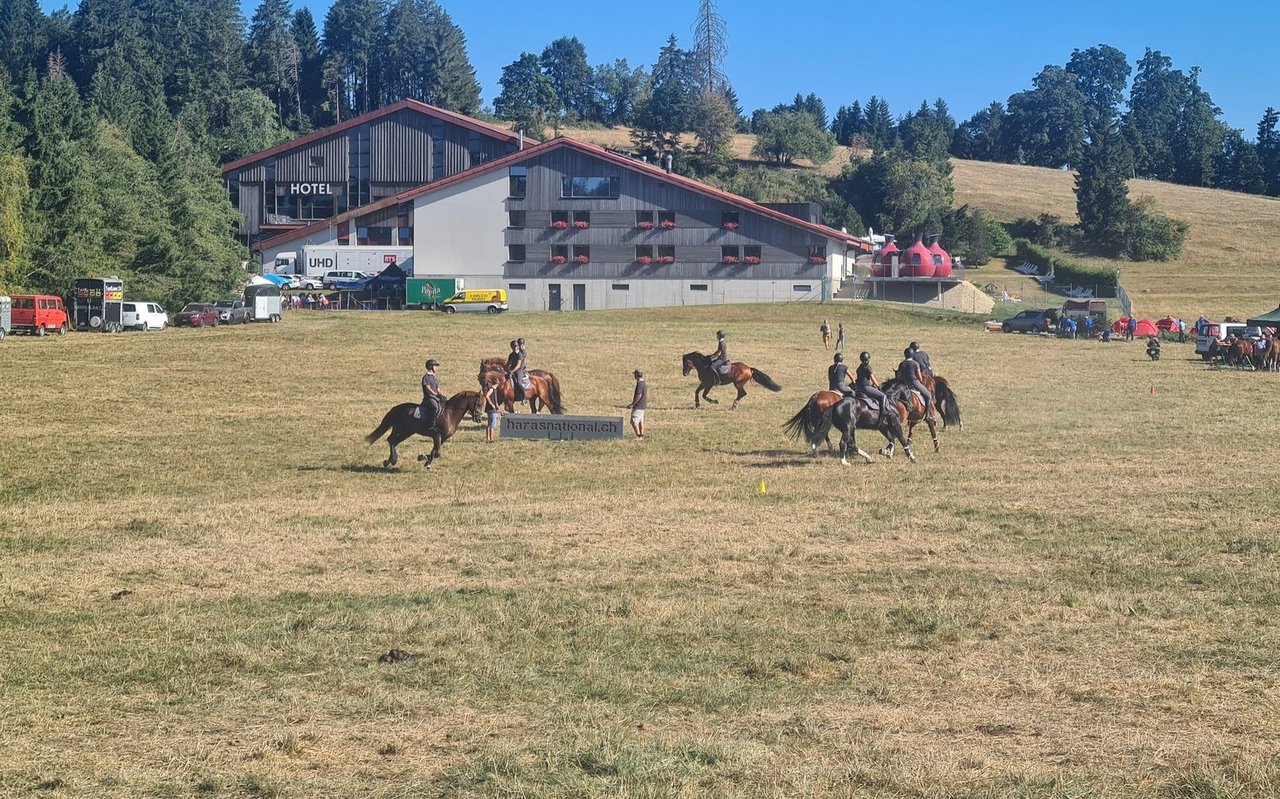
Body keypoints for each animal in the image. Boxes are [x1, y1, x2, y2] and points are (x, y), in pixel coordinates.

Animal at [778, 391, 911, 466]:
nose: (909, 407)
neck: (889, 402)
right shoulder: (893, 423)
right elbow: (899, 438)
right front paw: (908, 455)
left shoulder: (882, 427)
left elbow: (892, 439)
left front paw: (887, 452)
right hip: (846, 428)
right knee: (840, 441)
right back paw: (843, 461)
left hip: (844, 427)